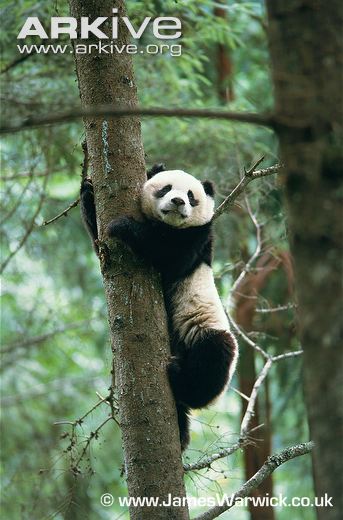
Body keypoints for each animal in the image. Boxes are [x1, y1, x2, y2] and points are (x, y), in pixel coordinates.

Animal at [80, 165, 239, 448]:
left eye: (191, 196)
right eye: (166, 188)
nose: (177, 202)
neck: (167, 226)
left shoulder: (198, 239)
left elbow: (167, 254)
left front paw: (122, 226)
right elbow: (99, 243)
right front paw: (88, 191)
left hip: (201, 331)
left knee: (215, 356)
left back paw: (180, 378)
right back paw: (182, 433)